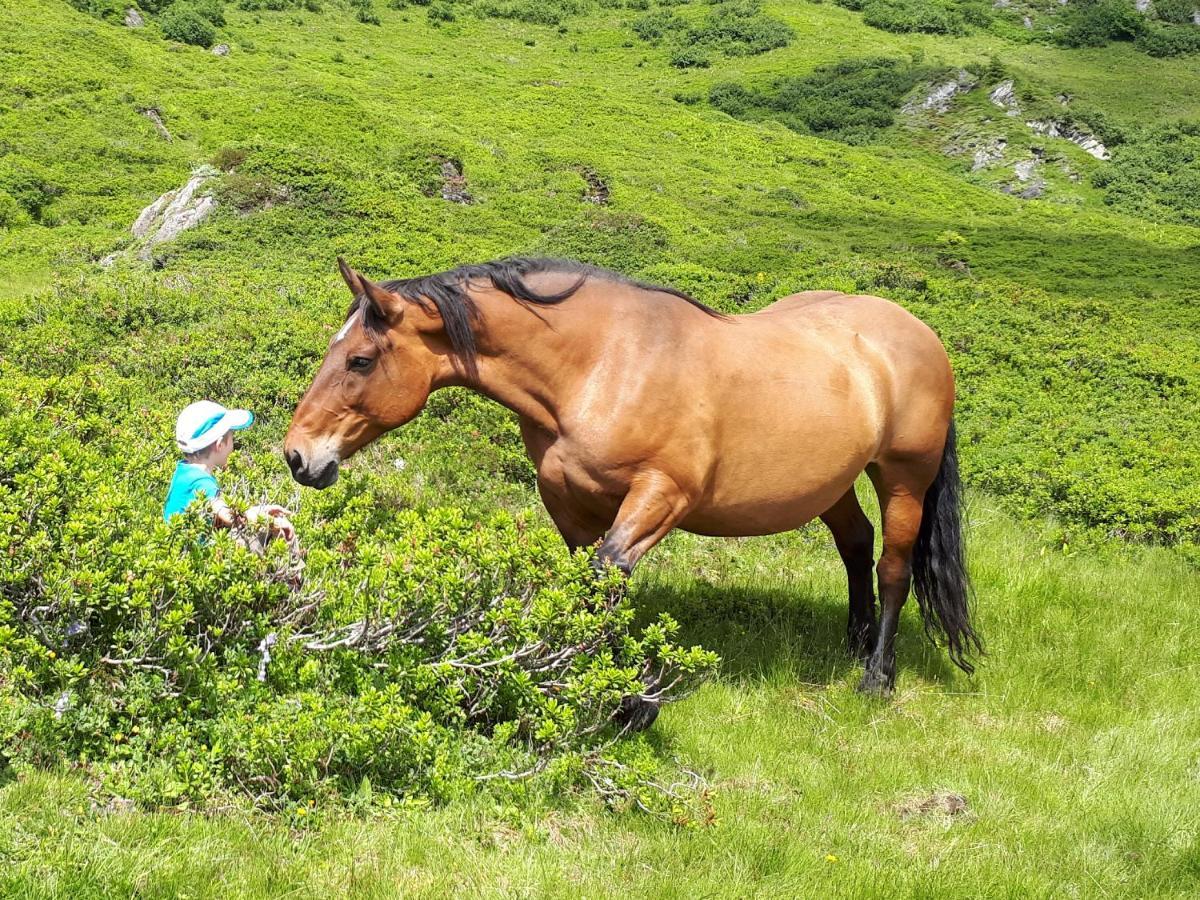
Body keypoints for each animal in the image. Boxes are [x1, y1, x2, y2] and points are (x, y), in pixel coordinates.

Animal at [285, 254, 979, 710]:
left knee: (892, 568)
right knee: (856, 545)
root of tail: (918, 333)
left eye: (360, 360)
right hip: (831, 484)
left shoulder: (660, 496)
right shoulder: (569, 505)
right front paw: (572, 673)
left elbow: (609, 575)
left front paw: (626, 695)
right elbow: (585, 586)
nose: (297, 456)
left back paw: (876, 676)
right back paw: (854, 645)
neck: (602, 364)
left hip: (904, 479)